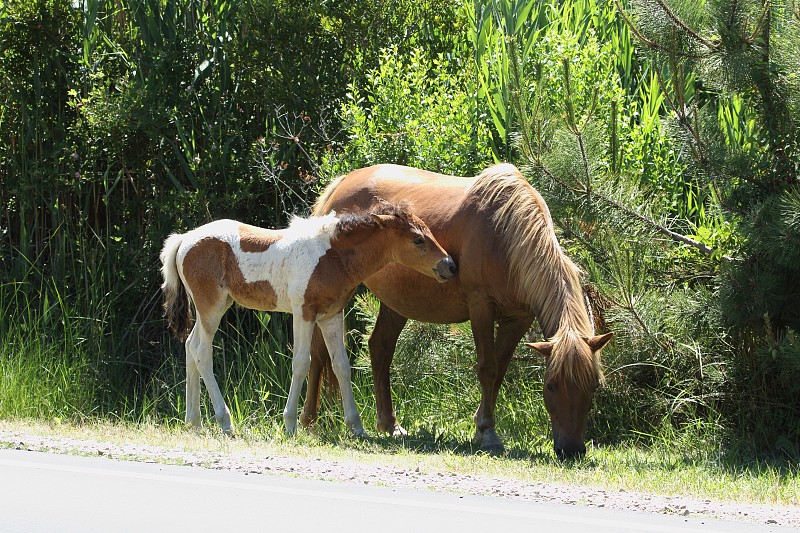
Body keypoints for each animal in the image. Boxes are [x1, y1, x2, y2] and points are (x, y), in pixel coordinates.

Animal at [159, 202, 456, 438]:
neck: (332, 256)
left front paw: (357, 427)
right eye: (418, 240)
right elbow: (302, 362)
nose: (450, 265)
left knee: (190, 346)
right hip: (212, 307)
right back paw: (225, 422)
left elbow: (341, 365)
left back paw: (194, 422)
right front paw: (290, 424)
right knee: (202, 352)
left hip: (212, 308)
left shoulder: (331, 315)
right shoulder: (303, 313)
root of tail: (184, 239)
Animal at [300, 163, 612, 458]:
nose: (571, 450)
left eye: (594, 386)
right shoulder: (481, 307)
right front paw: (487, 433)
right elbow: (488, 368)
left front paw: (480, 427)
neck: (505, 234)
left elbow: (499, 371)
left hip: (396, 302)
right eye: (550, 386)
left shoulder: (518, 319)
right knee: (319, 354)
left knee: (380, 348)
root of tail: (341, 184)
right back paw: (308, 421)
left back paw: (389, 424)